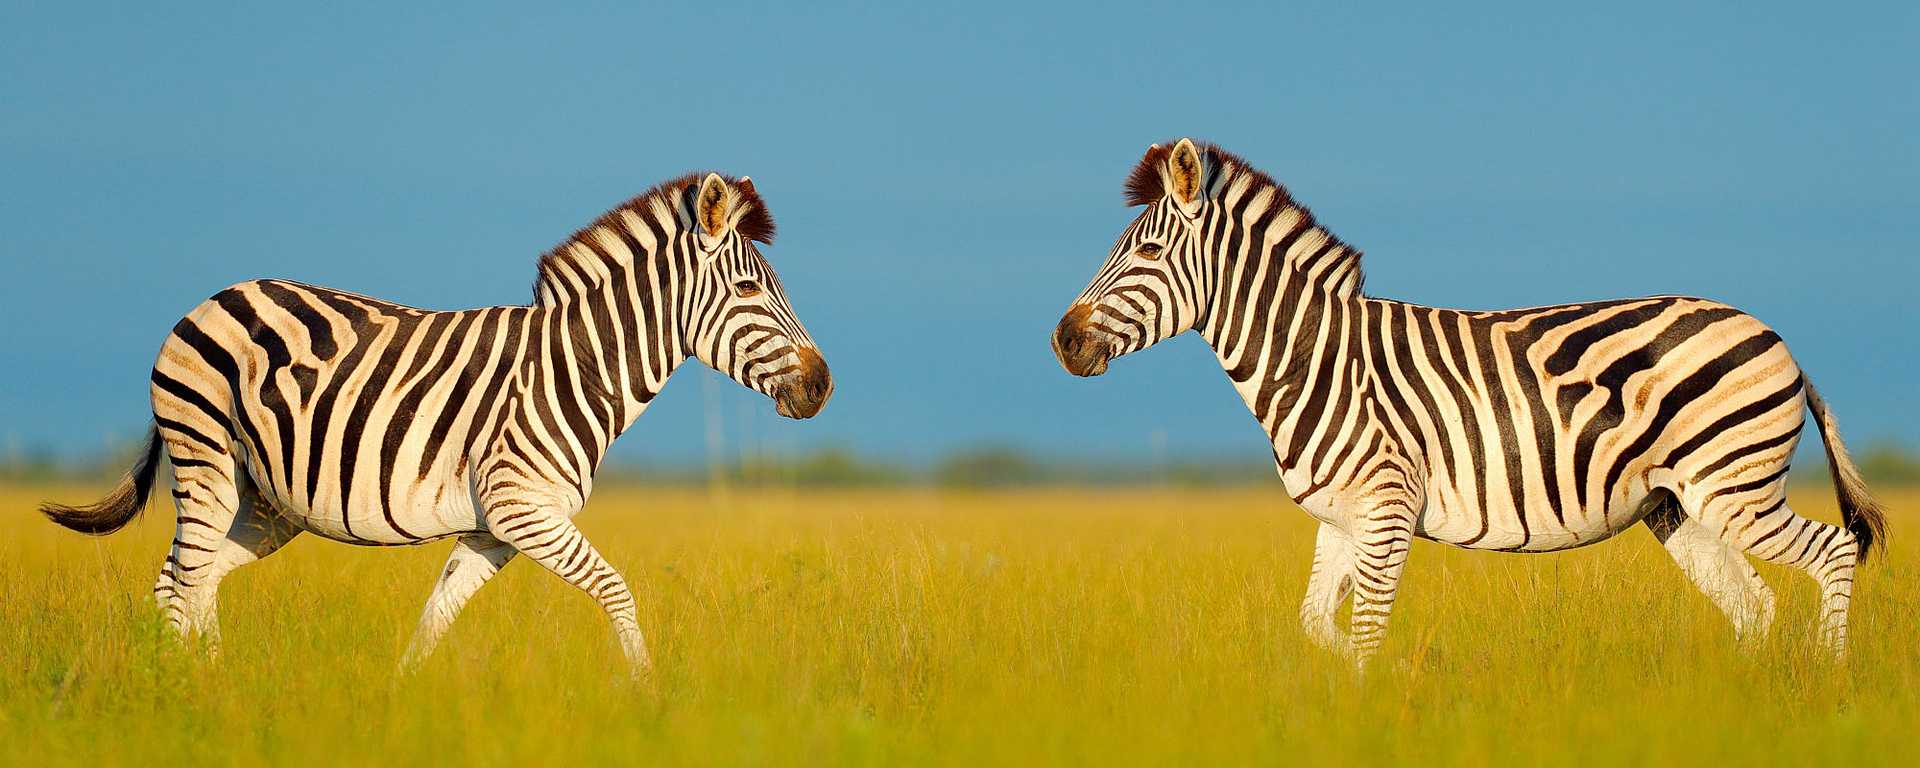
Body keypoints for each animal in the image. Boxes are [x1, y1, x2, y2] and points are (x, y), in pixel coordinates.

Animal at [41, 170, 829, 675]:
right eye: (749, 288)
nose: (823, 386)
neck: (577, 366)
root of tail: (210, 297)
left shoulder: (492, 530)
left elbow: (435, 619)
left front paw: (403, 702)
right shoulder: (522, 509)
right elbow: (617, 591)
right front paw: (648, 699)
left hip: (264, 499)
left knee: (190, 581)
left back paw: (209, 684)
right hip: (203, 453)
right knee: (182, 582)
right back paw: (190, 695)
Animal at [1067, 138, 1889, 664]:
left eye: (1146, 253)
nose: (1062, 341)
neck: (1313, 359)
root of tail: (1778, 338)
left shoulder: (1387, 505)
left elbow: (1364, 636)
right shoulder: (1342, 518)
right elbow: (1319, 628)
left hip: (1734, 487)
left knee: (1834, 551)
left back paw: (1828, 682)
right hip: (1680, 506)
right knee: (1757, 609)